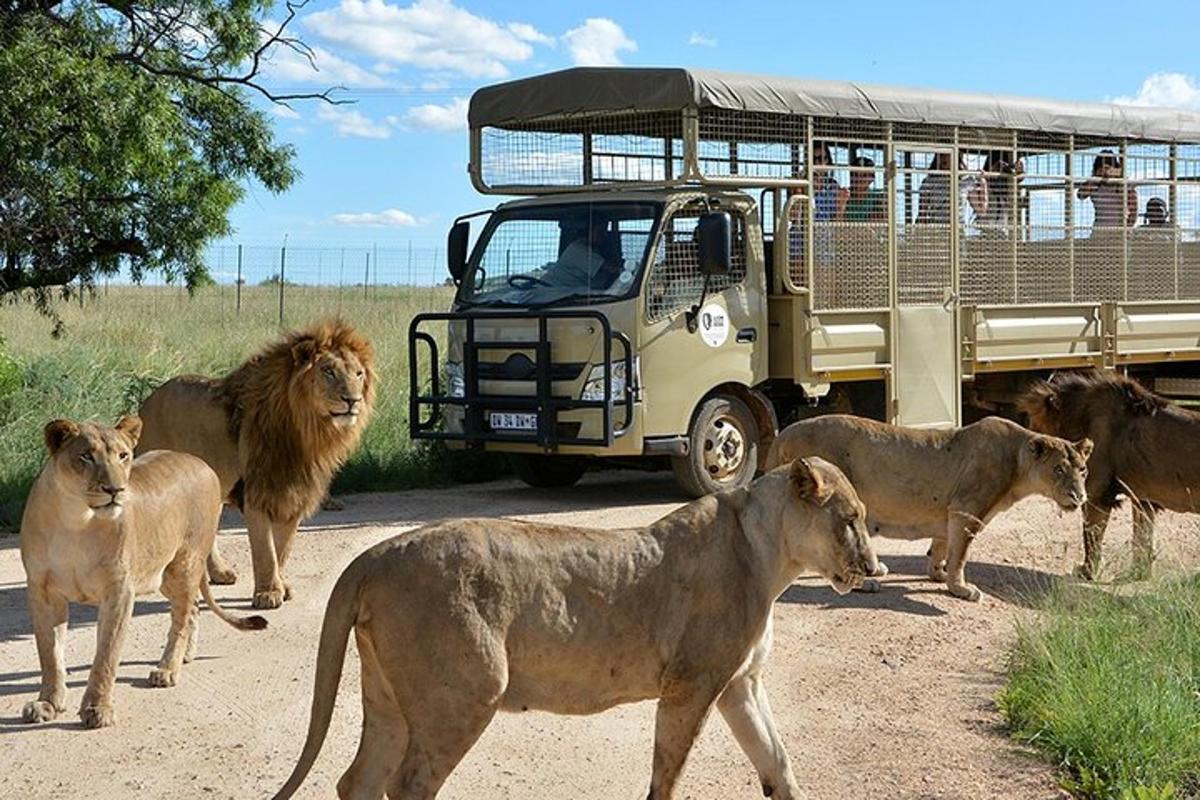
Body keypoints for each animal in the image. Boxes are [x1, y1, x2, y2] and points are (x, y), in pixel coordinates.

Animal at [135, 319, 374, 606]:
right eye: (328, 371)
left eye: (358, 374)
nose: (353, 400)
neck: (308, 433)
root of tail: (147, 402)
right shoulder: (257, 492)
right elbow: (265, 550)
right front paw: (268, 594)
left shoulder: (294, 493)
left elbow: (282, 549)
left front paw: (281, 586)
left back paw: (219, 573)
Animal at [272, 455, 878, 800]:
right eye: (850, 520)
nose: (874, 569)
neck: (770, 554)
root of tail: (373, 555)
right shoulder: (692, 684)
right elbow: (667, 774)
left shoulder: (739, 685)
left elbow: (778, 762)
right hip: (464, 694)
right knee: (408, 786)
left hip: (389, 698)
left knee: (358, 781)